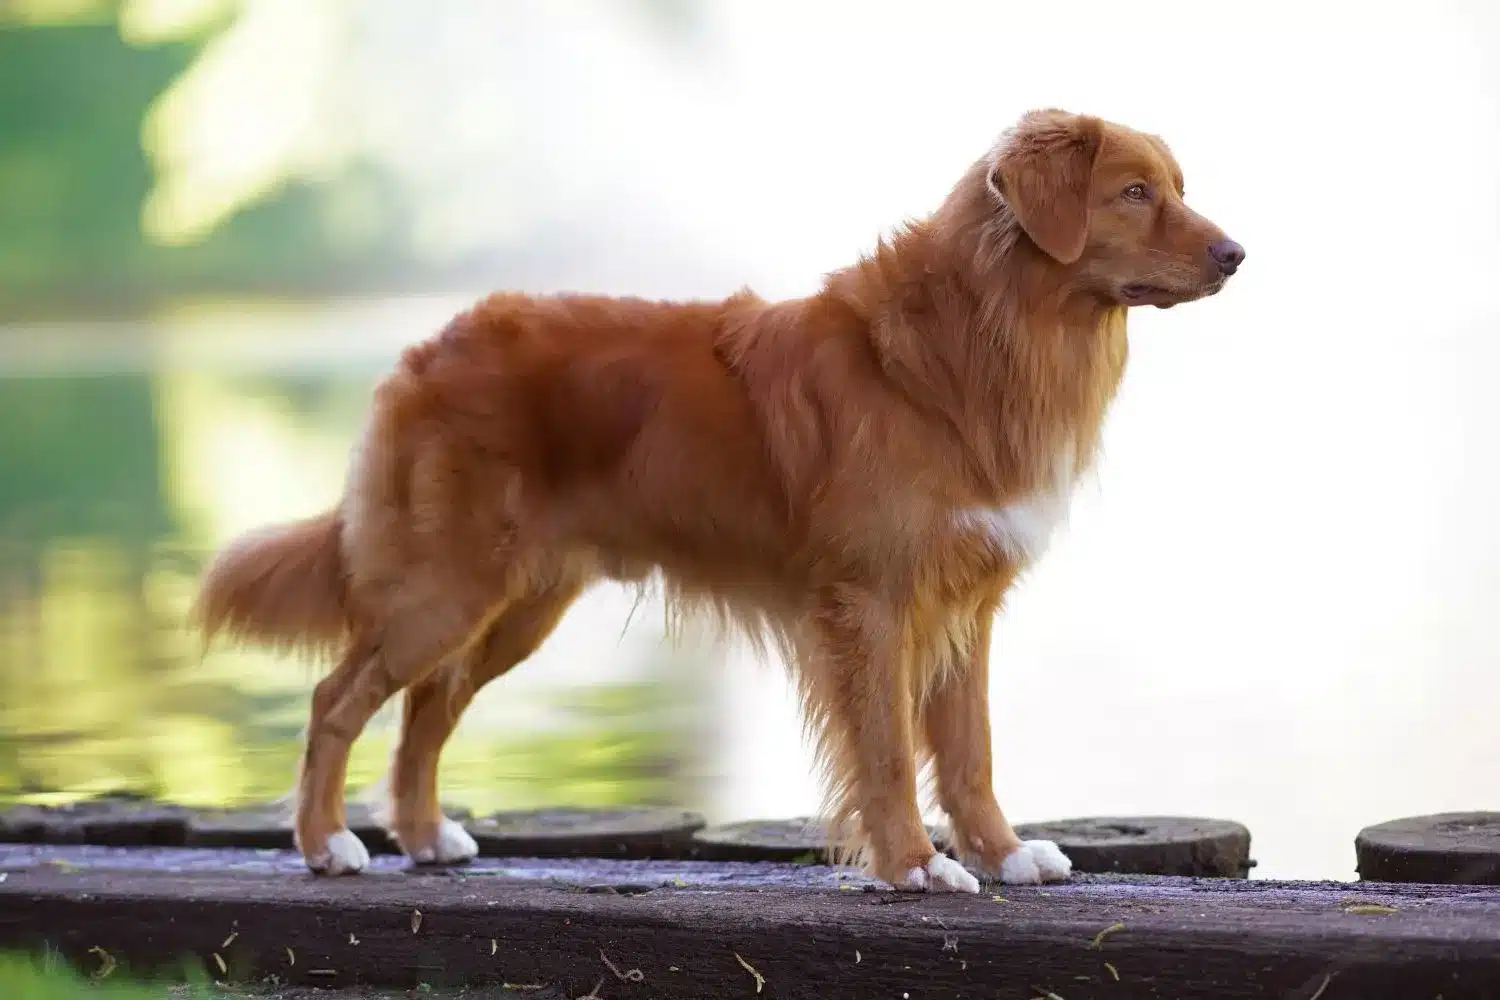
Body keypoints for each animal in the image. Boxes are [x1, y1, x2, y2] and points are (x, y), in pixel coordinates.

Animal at [196, 107, 1242, 893]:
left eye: (1178, 186)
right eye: (1136, 193)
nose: (1238, 253)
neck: (976, 341)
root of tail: (429, 347)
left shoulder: (964, 607)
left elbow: (969, 750)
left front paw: (1005, 854)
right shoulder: (873, 605)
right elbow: (889, 753)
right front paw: (913, 867)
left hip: (513, 607)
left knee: (425, 708)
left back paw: (422, 836)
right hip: (445, 588)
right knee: (338, 698)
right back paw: (327, 845)